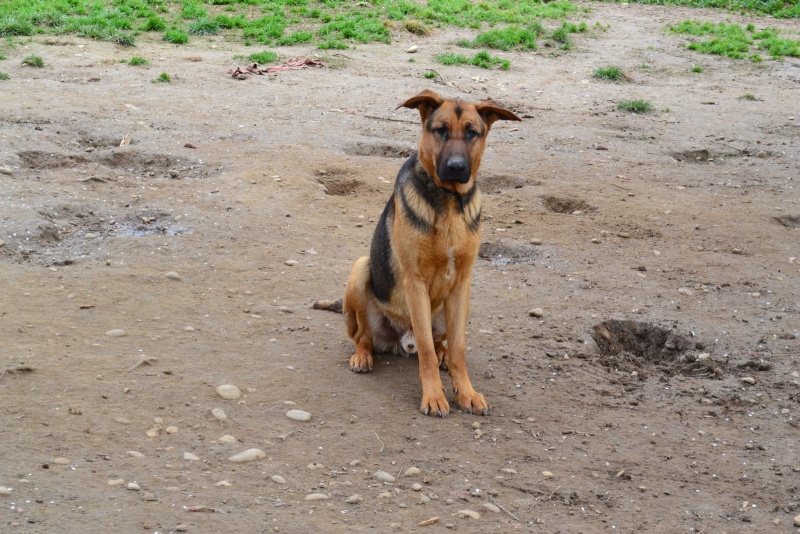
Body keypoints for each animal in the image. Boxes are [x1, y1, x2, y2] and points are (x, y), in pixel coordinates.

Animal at [316, 89, 520, 418]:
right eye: (441, 130)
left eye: (472, 133)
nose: (456, 167)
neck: (449, 200)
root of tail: (401, 341)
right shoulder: (415, 283)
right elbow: (424, 349)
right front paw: (434, 396)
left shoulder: (461, 285)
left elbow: (459, 348)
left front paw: (466, 392)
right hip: (361, 270)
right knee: (363, 338)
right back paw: (363, 356)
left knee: (441, 344)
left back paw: (443, 355)